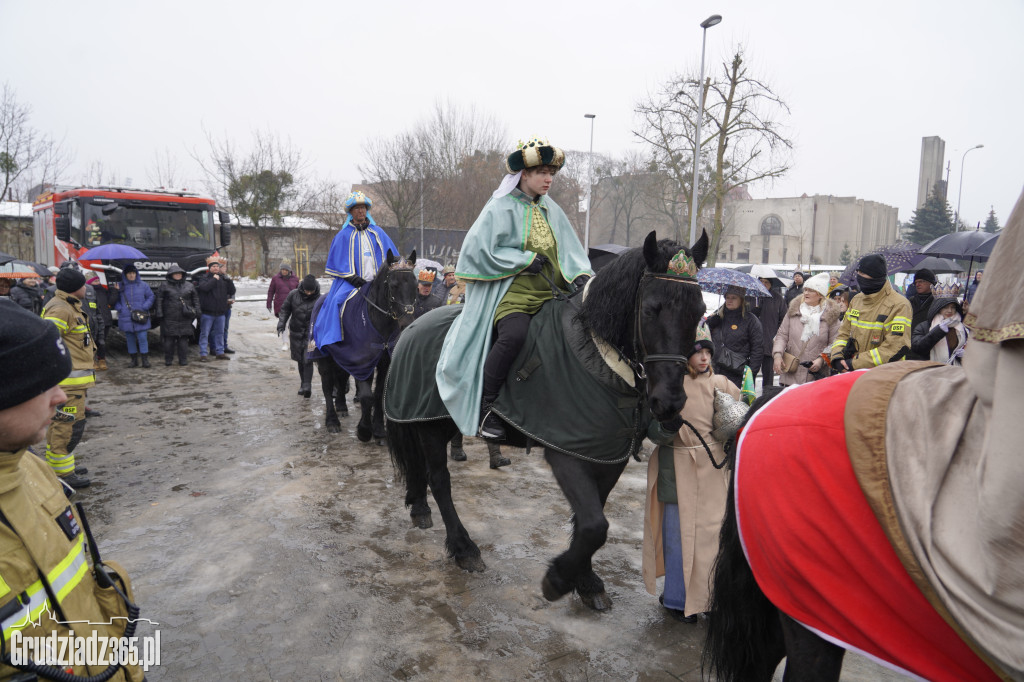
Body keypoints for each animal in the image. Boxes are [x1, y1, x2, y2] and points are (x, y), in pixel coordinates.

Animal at [307, 250, 415, 440]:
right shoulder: (362, 362)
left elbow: (378, 394)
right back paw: (332, 421)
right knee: (327, 386)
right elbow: (366, 396)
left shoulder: (384, 362)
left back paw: (342, 406)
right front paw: (364, 430)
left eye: (415, 284)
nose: (407, 323)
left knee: (341, 377)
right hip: (324, 357)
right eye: (393, 285)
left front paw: (378, 430)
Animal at [385, 231, 712, 606]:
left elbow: (592, 516)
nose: (669, 403)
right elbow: (594, 525)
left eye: (700, 311)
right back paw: (464, 548)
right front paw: (558, 579)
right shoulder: (564, 452)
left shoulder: (606, 456)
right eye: (650, 309)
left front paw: (586, 580)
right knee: (439, 479)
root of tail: (411, 326)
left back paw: (419, 508)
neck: (596, 353)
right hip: (428, 425)